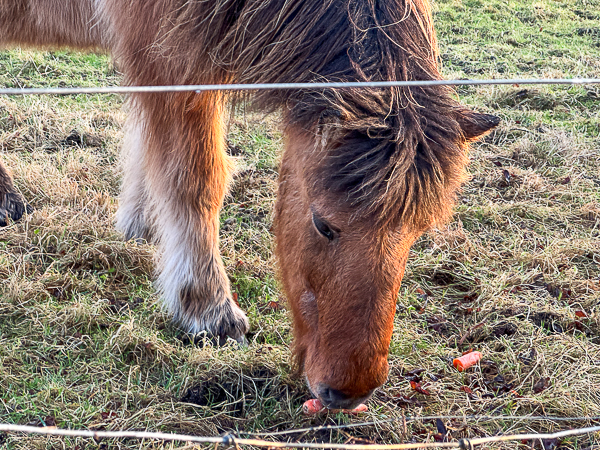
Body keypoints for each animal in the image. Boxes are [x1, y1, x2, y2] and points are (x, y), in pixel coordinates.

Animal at [0, 0, 499, 409]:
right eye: (323, 224)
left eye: (418, 233)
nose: (349, 393)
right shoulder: (172, 60)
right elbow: (197, 178)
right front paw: (207, 309)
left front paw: (141, 226)